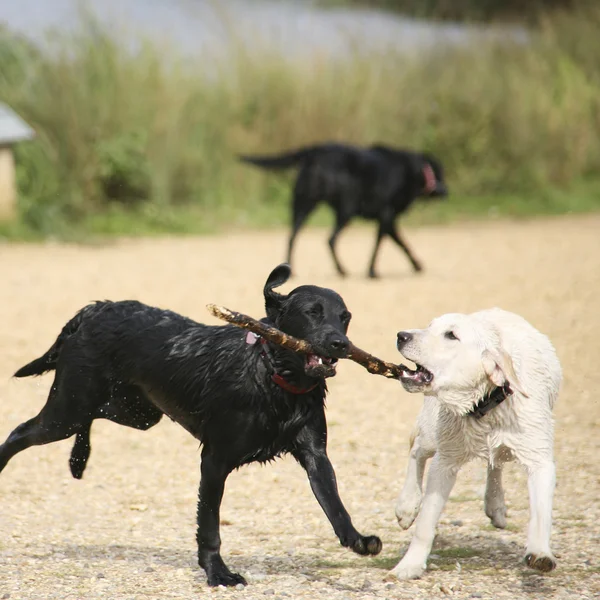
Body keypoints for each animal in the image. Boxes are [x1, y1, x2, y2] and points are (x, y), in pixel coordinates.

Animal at [0, 264, 382, 588]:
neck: (273, 378)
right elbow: (210, 525)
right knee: (21, 431)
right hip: (68, 410)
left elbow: (334, 504)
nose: (340, 344)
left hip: (135, 412)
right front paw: (218, 573)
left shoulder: (315, 453)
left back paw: (78, 458)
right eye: (312, 312)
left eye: (344, 318)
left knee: (94, 418)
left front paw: (358, 540)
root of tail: (94, 310)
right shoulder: (214, 461)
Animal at [241, 143, 448, 278]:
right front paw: (373, 271)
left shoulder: (388, 220)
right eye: (440, 173)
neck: (412, 170)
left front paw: (416, 265)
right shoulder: (387, 215)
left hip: (305, 205)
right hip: (345, 209)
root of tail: (316, 152)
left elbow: (399, 243)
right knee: (330, 239)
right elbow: (387, 243)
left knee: (293, 237)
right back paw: (342, 270)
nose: (446, 191)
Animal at [392, 308, 560, 580]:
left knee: (496, 462)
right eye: (429, 326)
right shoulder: (445, 461)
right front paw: (409, 565)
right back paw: (407, 505)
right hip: (432, 432)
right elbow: (425, 523)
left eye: (451, 335)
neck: (488, 398)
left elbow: (541, 513)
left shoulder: (539, 458)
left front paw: (541, 553)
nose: (401, 335)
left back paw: (496, 504)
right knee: (416, 450)